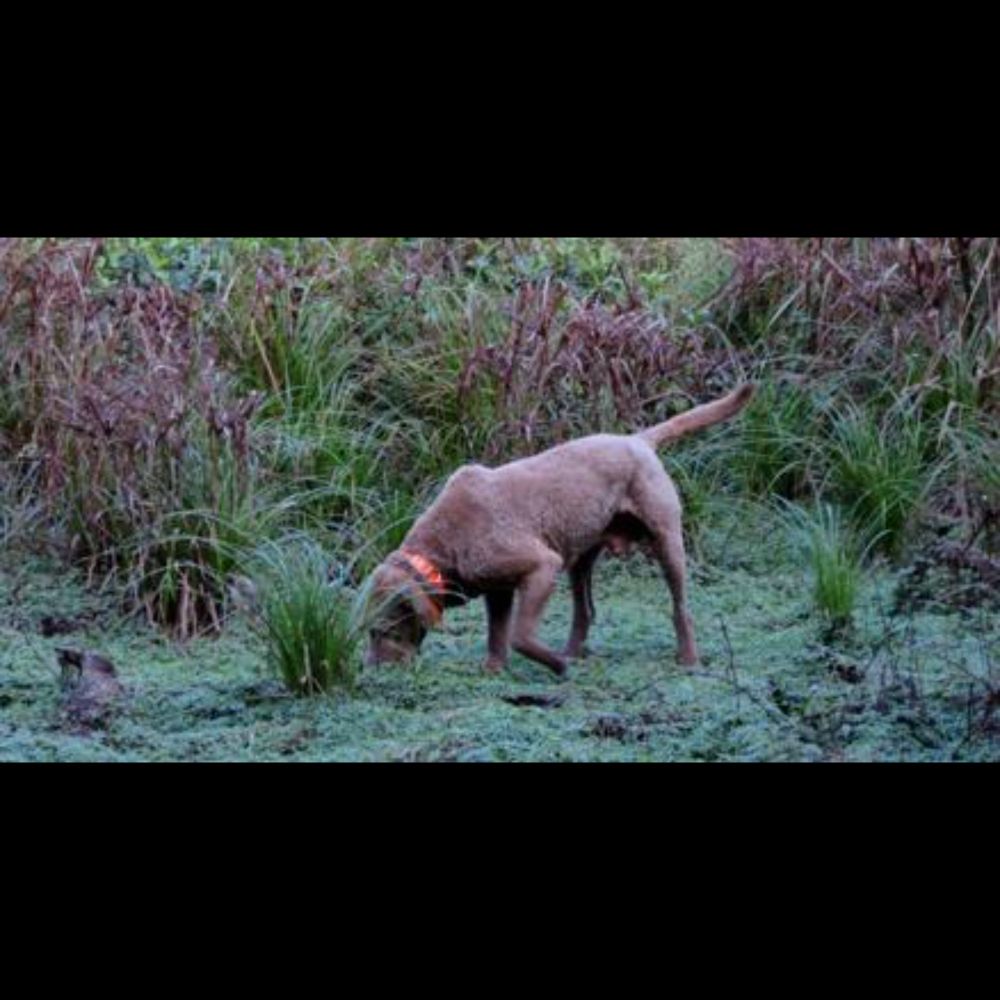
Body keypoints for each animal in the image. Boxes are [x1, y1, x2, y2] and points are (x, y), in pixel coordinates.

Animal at [366, 382, 752, 672]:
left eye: (381, 631)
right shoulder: (499, 589)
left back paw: (688, 659)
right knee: (586, 611)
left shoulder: (542, 566)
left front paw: (553, 665)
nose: (373, 669)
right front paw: (496, 668)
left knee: (680, 607)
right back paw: (572, 653)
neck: (442, 547)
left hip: (666, 539)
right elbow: (497, 635)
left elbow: (519, 636)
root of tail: (638, 440)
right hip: (580, 558)